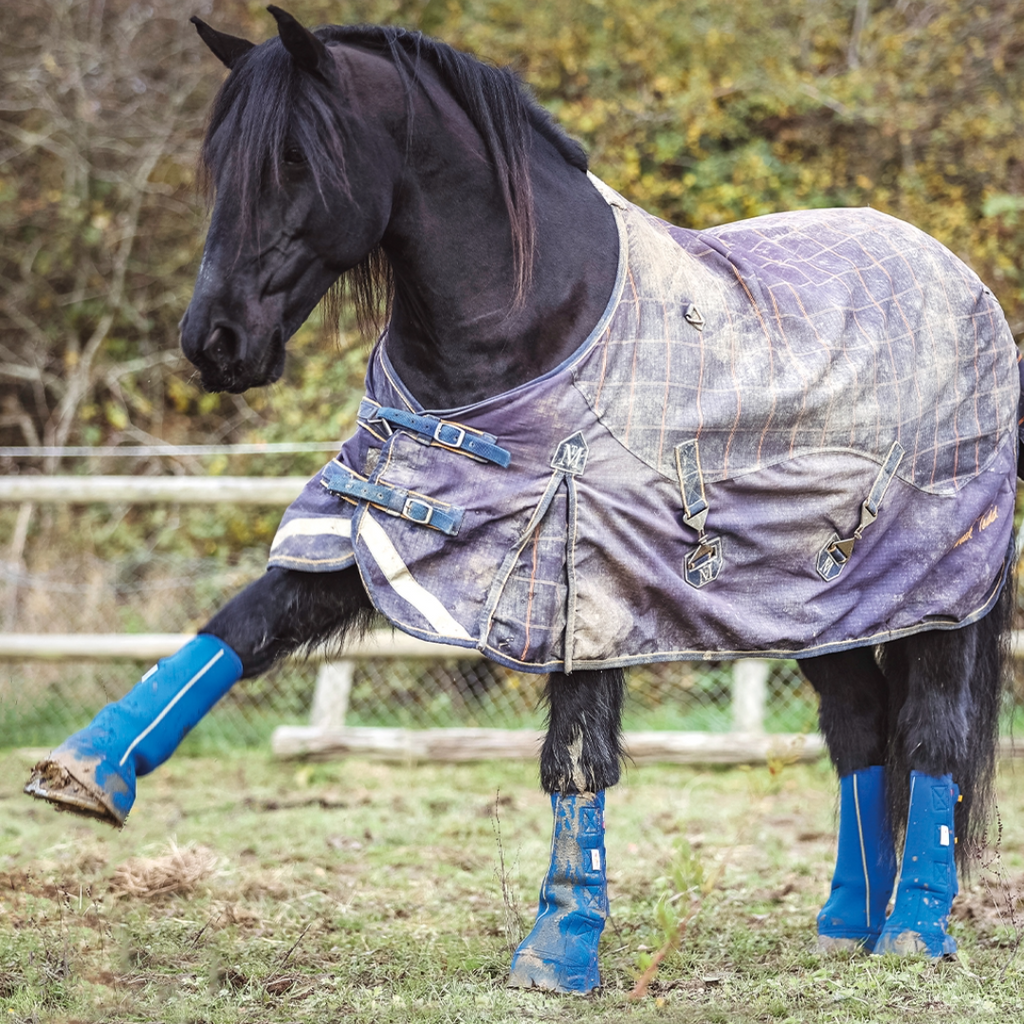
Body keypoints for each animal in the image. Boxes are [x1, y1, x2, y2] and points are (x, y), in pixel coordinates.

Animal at [24, 4, 1015, 987]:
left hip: (937, 596)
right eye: (221, 159)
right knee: (859, 729)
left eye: (296, 159)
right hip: (807, 603)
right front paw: (87, 771)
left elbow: (574, 758)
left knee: (929, 735)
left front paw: (559, 947)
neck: (531, 322)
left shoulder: (586, 574)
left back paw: (914, 927)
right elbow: (243, 621)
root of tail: (965, 283)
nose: (216, 341)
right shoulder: (387, 523)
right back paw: (848, 921)